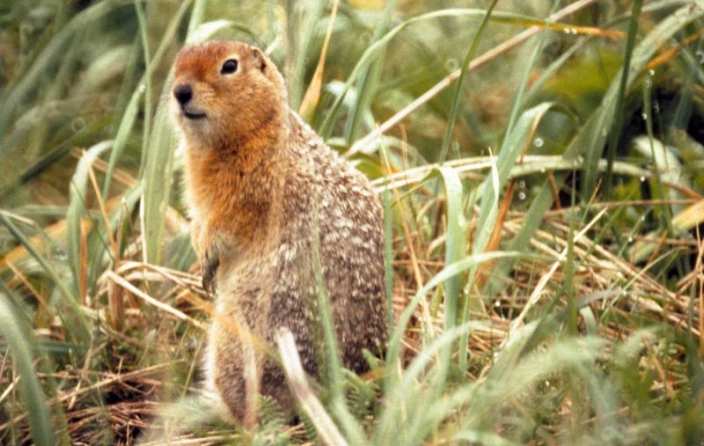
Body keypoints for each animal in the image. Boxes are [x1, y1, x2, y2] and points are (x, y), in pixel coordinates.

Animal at [170, 40, 387, 422]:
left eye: (230, 66)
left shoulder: (253, 191)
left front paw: (207, 260)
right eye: (178, 60)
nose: (180, 91)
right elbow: (199, 223)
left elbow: (225, 224)